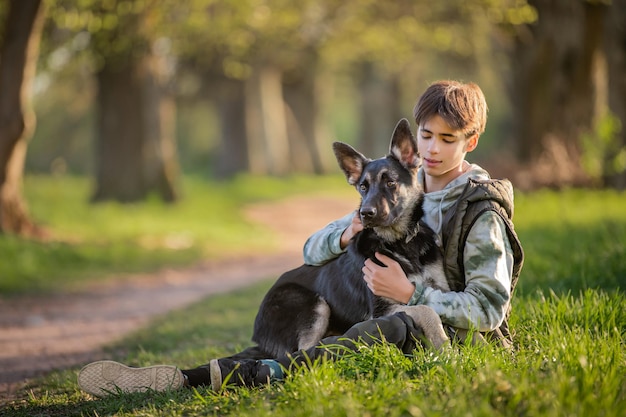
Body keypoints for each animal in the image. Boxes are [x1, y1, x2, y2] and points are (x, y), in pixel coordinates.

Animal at [249, 118, 448, 358]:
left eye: (390, 182)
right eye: (363, 187)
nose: (365, 213)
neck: (399, 242)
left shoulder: (441, 290)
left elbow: (434, 307)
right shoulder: (384, 309)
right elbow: (427, 310)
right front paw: (446, 348)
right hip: (314, 304)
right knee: (305, 351)